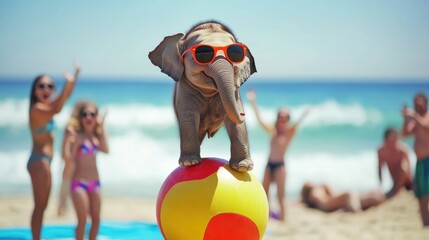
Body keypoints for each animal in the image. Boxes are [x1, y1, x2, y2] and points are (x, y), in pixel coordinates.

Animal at [147, 20, 256, 171]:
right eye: (203, 53)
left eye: (235, 53)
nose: (243, 113)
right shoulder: (184, 89)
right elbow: (188, 117)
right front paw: (190, 163)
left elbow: (233, 121)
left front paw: (242, 167)